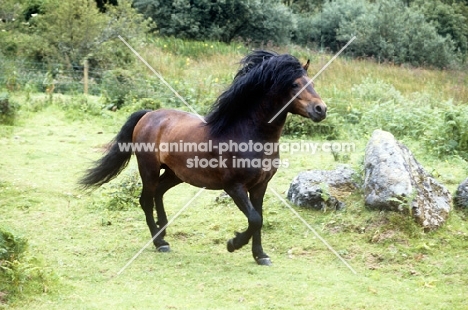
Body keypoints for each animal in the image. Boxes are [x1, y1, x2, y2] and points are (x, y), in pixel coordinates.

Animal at [80, 49, 328, 266]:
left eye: (312, 83)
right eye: (294, 84)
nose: (321, 109)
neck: (247, 134)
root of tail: (148, 115)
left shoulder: (260, 186)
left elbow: (258, 219)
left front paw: (260, 256)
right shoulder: (234, 187)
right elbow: (254, 219)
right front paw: (233, 244)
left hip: (175, 173)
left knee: (159, 192)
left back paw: (163, 230)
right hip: (148, 169)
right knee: (146, 200)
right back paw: (160, 242)